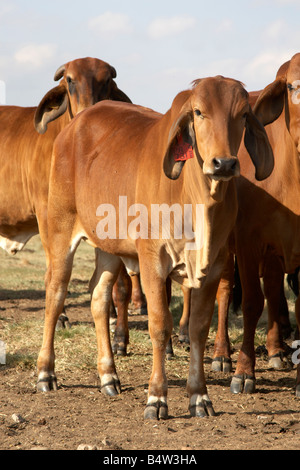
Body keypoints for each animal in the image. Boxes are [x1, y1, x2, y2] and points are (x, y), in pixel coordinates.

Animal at [35, 75, 274, 420]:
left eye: (243, 114)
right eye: (198, 112)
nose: (224, 163)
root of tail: (74, 126)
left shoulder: (214, 265)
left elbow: (199, 328)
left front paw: (199, 396)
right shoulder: (152, 262)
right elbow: (161, 326)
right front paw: (156, 398)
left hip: (109, 249)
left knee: (99, 297)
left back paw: (108, 376)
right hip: (59, 230)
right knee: (54, 294)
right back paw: (46, 373)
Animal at [211, 52, 300, 396]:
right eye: (292, 86)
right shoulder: (248, 241)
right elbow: (251, 303)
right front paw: (244, 372)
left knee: (274, 290)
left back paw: (276, 351)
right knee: (224, 292)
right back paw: (222, 354)